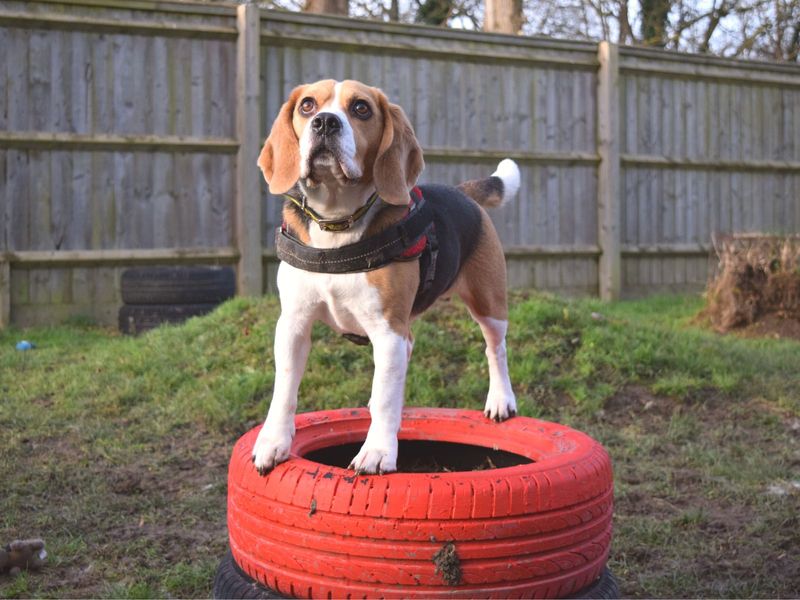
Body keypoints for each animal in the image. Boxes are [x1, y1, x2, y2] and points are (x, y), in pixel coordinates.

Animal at [253, 78, 520, 474]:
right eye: (307, 105)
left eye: (361, 108)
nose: (325, 122)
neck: (336, 224)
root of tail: (462, 193)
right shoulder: (293, 325)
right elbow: (284, 388)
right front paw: (273, 442)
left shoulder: (387, 329)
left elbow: (384, 397)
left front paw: (378, 451)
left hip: (488, 304)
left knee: (495, 349)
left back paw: (501, 400)